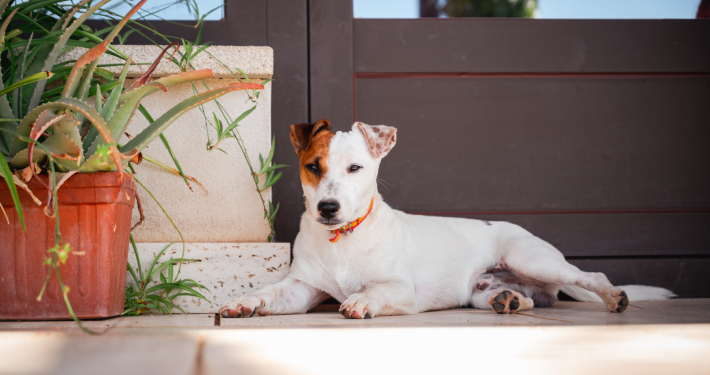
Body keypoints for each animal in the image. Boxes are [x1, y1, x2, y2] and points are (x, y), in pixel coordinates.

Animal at [220, 121, 676, 320]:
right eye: (313, 166)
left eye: (355, 168)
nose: (328, 209)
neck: (345, 239)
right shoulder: (301, 289)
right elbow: (272, 292)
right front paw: (246, 301)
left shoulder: (400, 288)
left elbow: (377, 290)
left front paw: (362, 300)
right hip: (479, 290)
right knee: (527, 299)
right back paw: (509, 301)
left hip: (534, 260)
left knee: (591, 275)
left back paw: (613, 297)